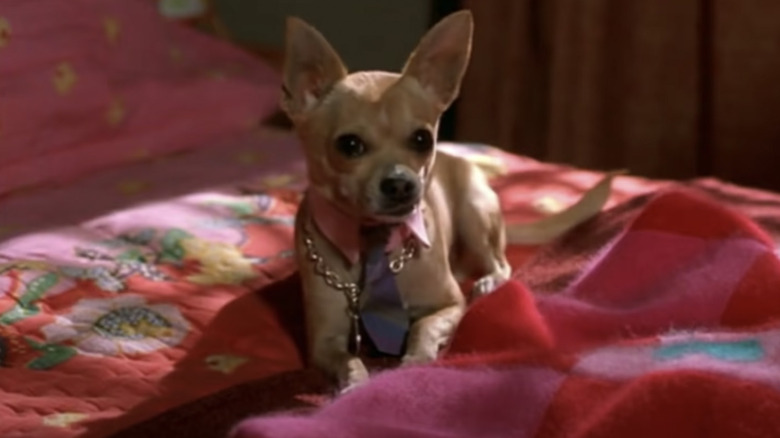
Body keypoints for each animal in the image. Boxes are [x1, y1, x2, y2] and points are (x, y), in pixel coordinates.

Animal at [284, 10, 620, 390]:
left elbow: (423, 327)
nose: (401, 184)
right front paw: (357, 384)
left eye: (421, 139)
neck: (373, 242)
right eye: (350, 145)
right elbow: (349, 361)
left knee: (501, 263)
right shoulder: (323, 343)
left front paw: (414, 362)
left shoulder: (449, 305)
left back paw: (488, 281)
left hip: (475, 214)